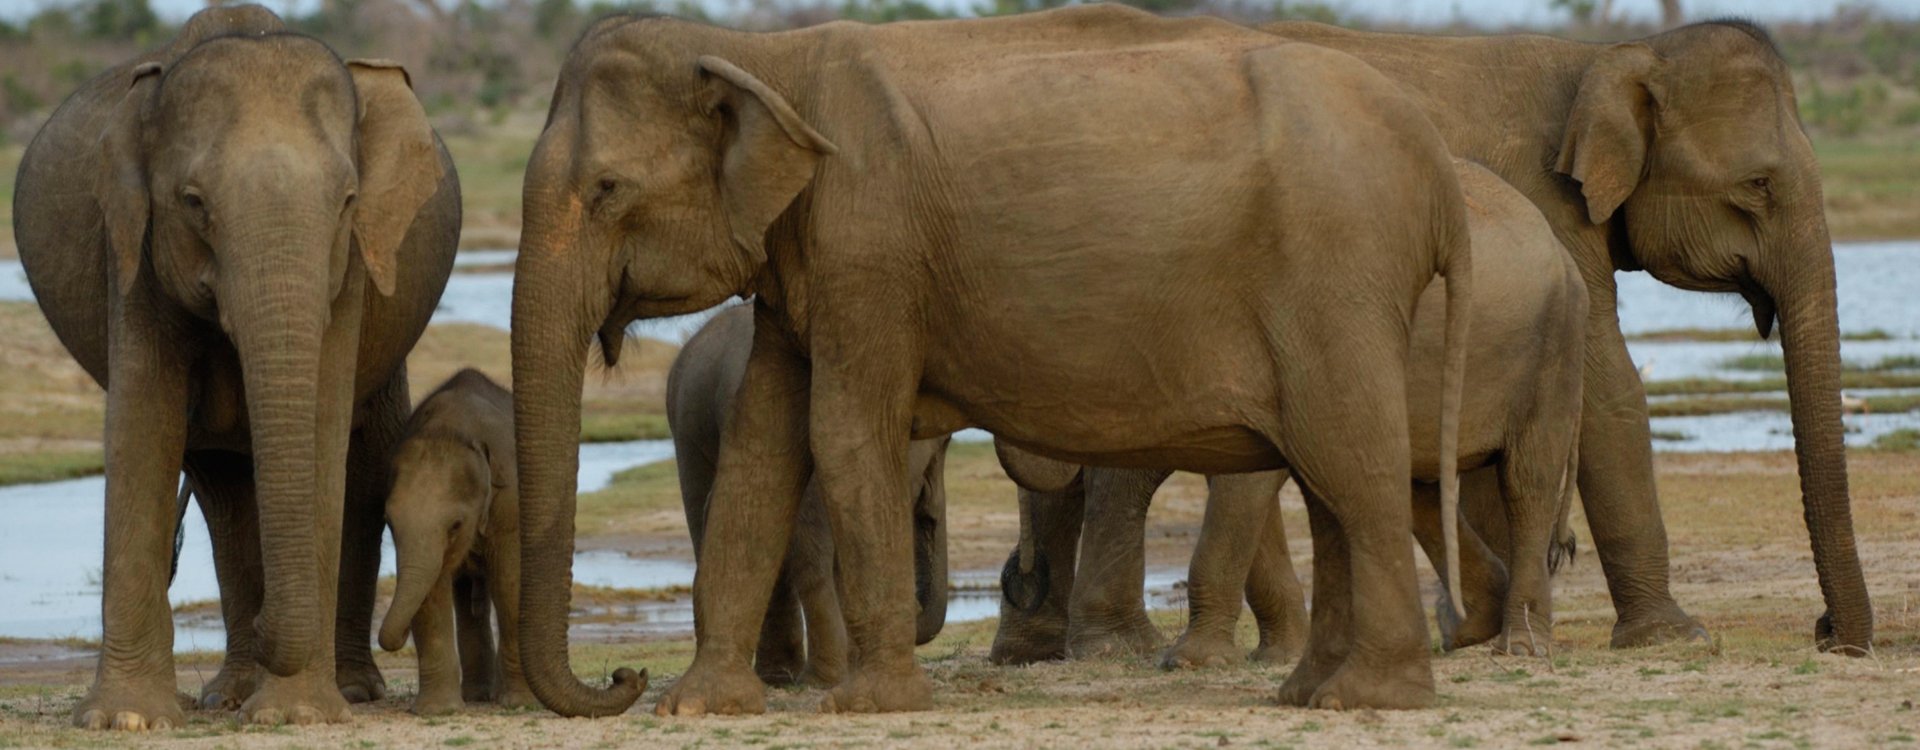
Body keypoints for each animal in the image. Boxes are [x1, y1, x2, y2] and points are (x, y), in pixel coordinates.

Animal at [15, 2, 460, 732]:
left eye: (347, 200)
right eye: (193, 202)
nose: (269, 624)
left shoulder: (350, 268)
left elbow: (324, 430)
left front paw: (297, 715)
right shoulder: (132, 250)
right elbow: (143, 428)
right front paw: (125, 721)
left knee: (363, 462)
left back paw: (348, 690)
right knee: (222, 489)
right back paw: (229, 694)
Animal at [990, 158, 1589, 671]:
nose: (1019, 576)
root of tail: (1566, 257)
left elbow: (1241, 485)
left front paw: (1189, 661)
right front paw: (1275, 656)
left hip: (1552, 352)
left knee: (1527, 484)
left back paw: (1519, 646)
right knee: (1417, 484)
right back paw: (1468, 631)